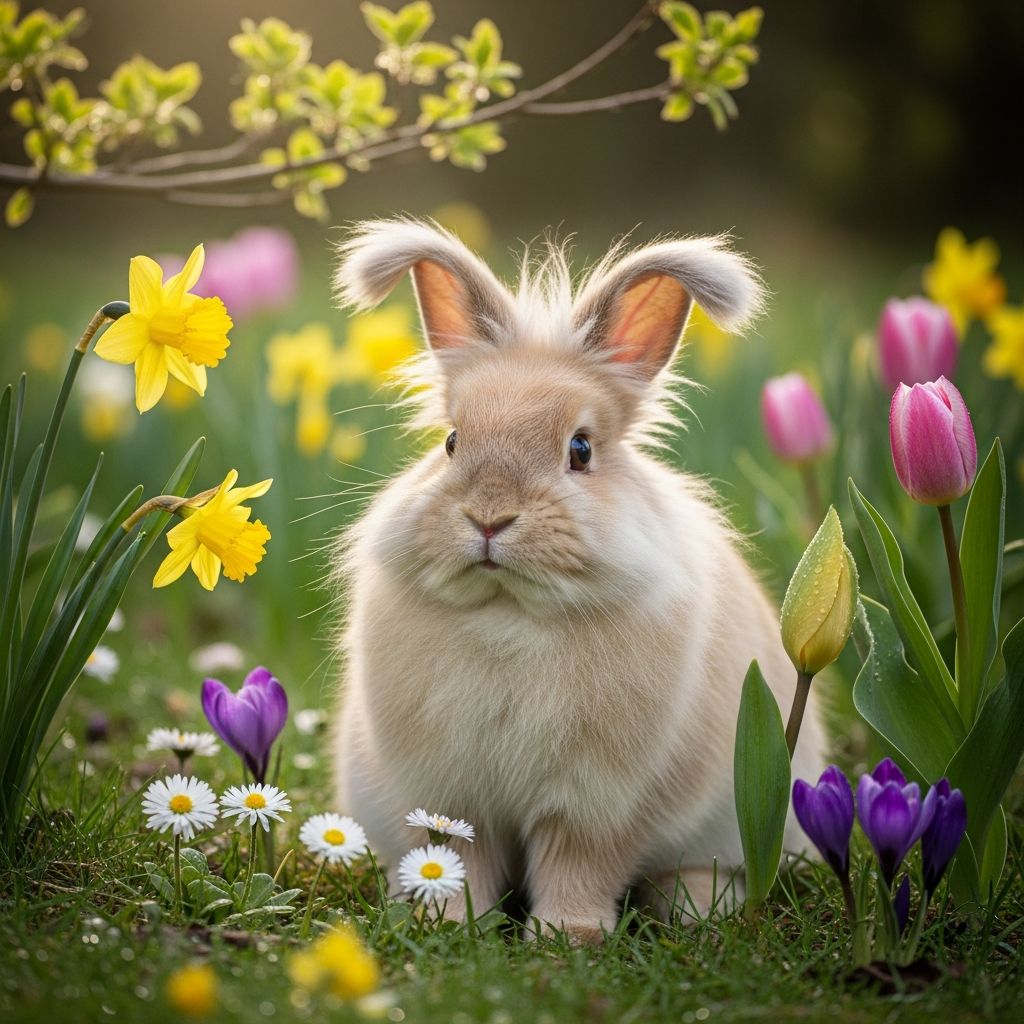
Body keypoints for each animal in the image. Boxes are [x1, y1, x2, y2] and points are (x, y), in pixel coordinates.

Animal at [330, 218, 826, 943]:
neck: (509, 614)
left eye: (581, 450)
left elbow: (579, 865)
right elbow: (458, 857)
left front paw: (567, 936)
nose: (489, 517)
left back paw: (699, 907)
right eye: (451, 442)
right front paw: (449, 922)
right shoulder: (452, 796)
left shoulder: (595, 803)